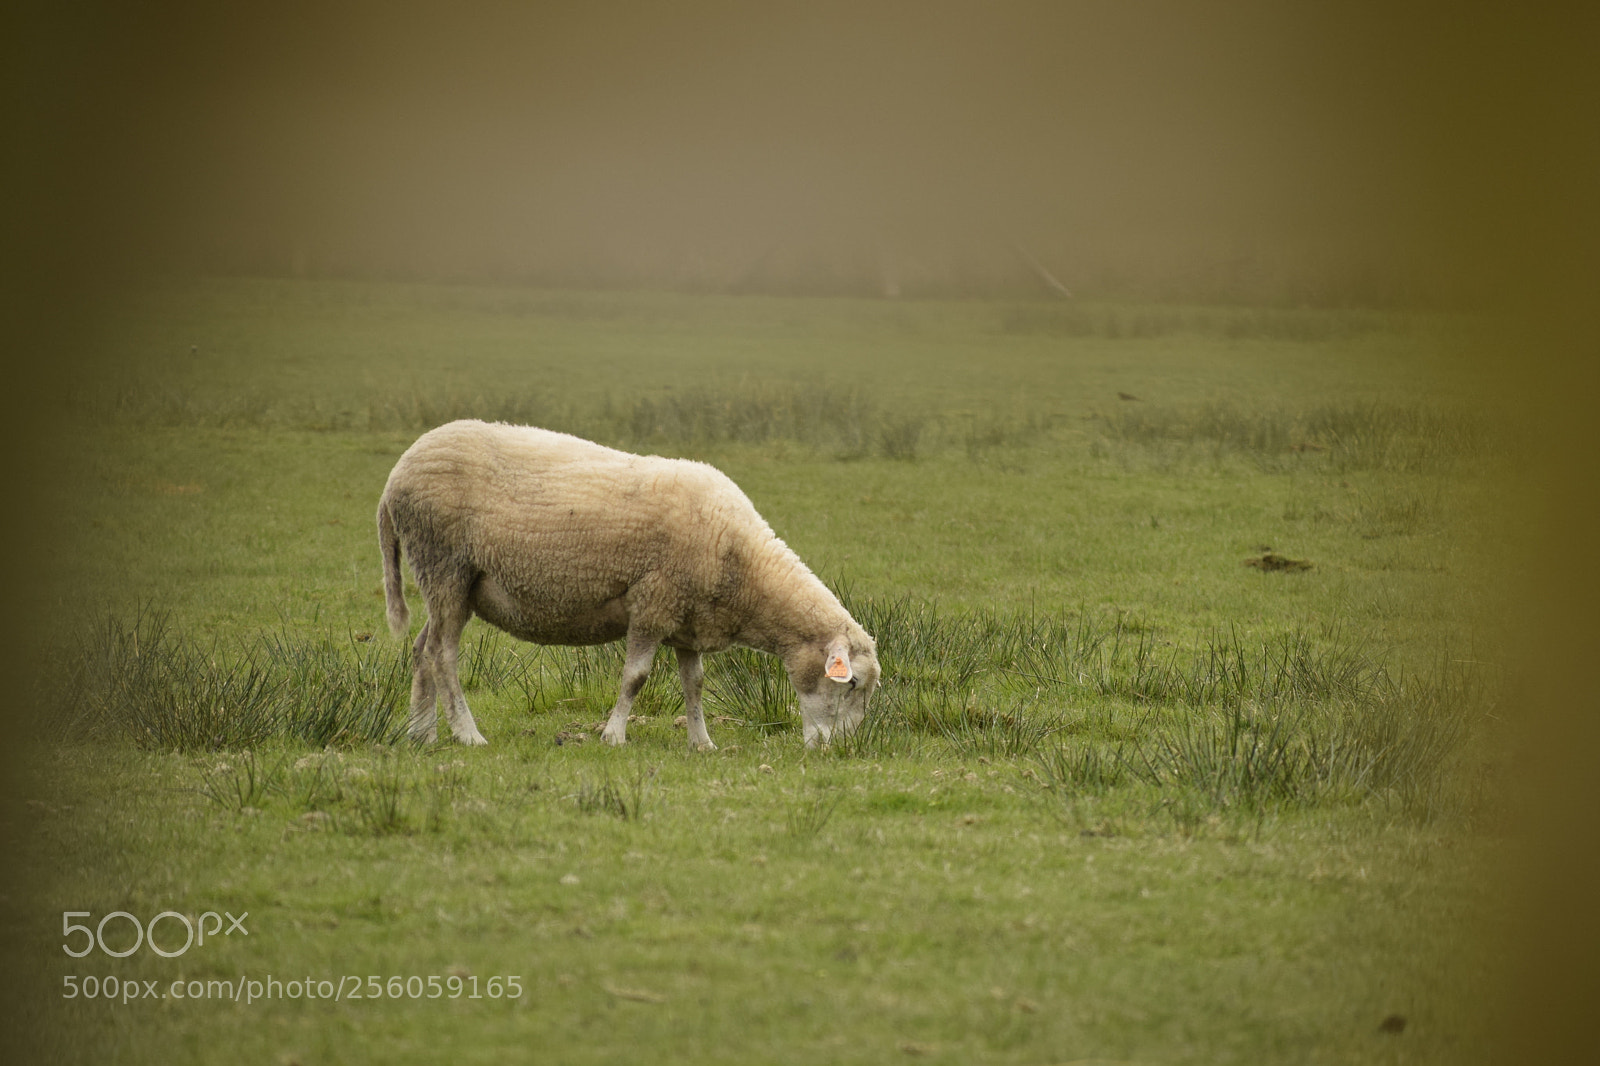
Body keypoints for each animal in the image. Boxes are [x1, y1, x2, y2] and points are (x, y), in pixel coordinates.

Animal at [377, 419, 880, 750]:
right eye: (852, 684)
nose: (839, 750)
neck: (744, 567)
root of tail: (396, 476)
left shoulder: (687, 621)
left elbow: (694, 683)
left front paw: (702, 742)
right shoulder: (653, 603)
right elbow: (636, 677)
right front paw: (614, 735)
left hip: (449, 582)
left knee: (422, 648)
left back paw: (422, 732)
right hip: (444, 564)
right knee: (442, 654)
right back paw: (467, 734)